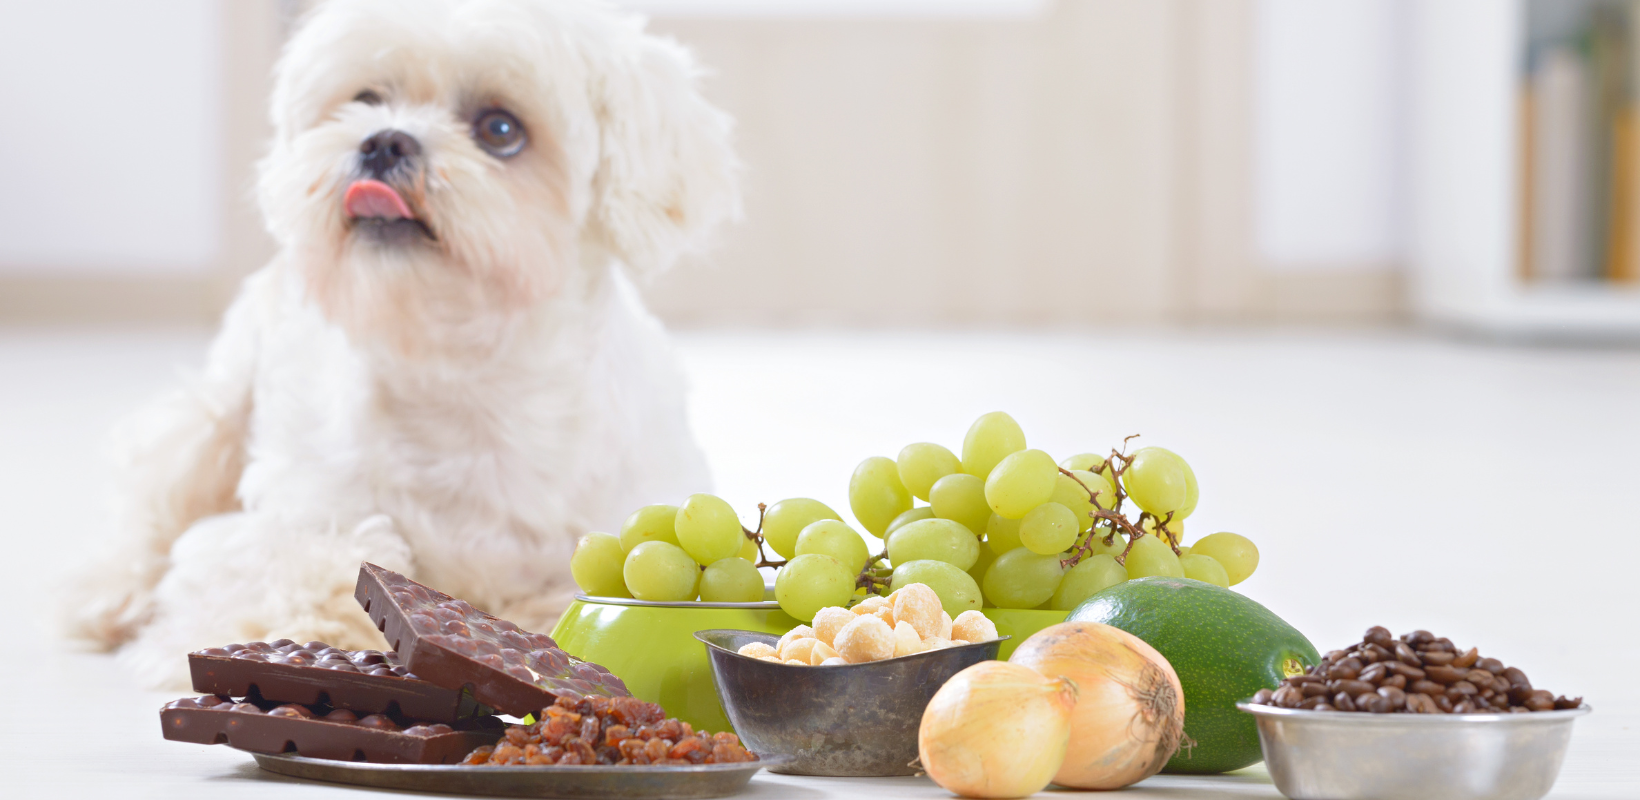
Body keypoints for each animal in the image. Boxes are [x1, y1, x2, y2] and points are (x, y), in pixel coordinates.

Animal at [63, 0, 731, 688]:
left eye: (500, 129)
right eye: (367, 98)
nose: (384, 140)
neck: (460, 377)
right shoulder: (290, 519)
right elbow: (301, 566)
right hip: (215, 418)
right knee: (151, 511)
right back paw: (106, 596)